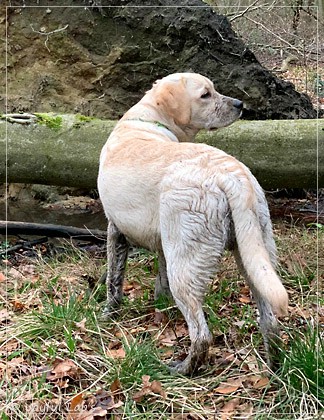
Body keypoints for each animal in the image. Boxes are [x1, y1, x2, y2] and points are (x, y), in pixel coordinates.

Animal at [97, 72, 288, 374]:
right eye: (206, 94)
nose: (240, 104)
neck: (150, 119)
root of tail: (230, 175)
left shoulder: (116, 230)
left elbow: (113, 282)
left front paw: (108, 315)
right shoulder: (164, 245)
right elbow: (158, 279)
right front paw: (161, 306)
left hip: (186, 267)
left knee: (201, 335)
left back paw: (181, 369)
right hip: (255, 256)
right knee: (269, 322)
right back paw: (274, 368)